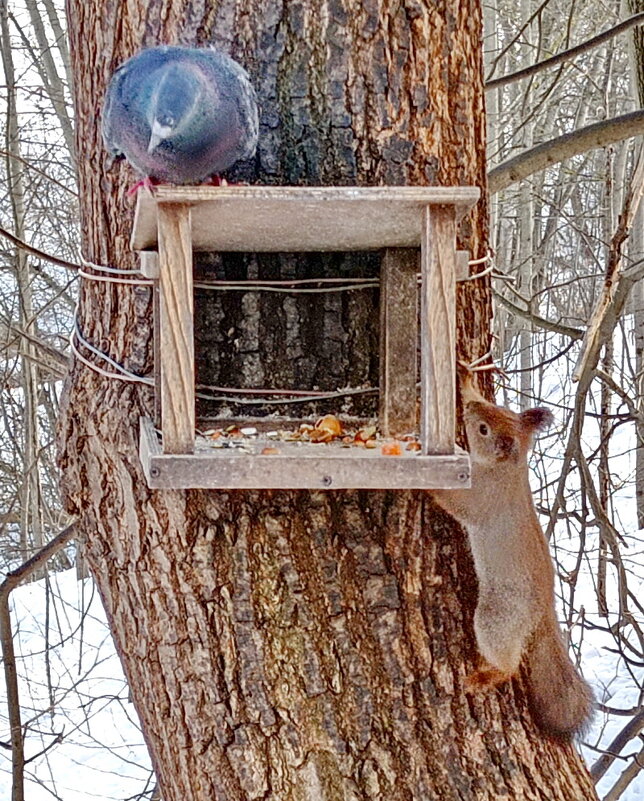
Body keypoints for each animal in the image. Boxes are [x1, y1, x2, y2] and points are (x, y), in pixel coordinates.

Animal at [430, 368, 596, 736]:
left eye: (482, 430)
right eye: (496, 409)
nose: (469, 410)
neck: (509, 469)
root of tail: (544, 611)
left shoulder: (484, 497)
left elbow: (460, 504)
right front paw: (466, 379)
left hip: (499, 614)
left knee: (509, 662)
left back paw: (487, 675)